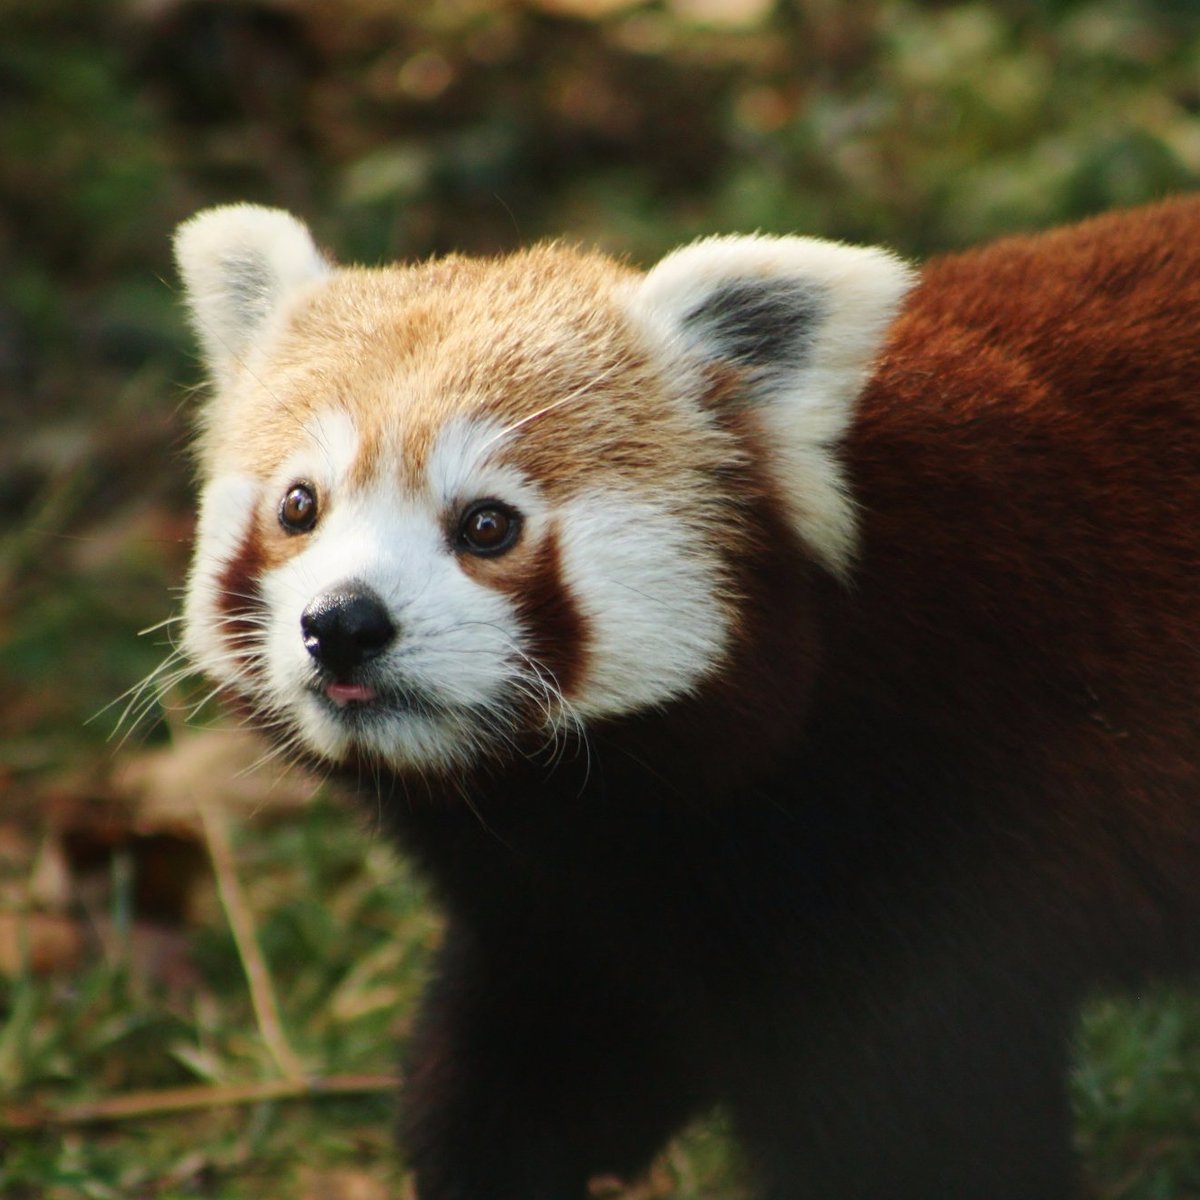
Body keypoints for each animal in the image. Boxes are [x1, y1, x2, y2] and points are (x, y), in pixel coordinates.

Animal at [174, 199, 1200, 1200]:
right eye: (300, 506)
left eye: (486, 525)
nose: (343, 623)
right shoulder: (580, 913)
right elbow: (527, 1069)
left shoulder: (927, 844)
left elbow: (923, 1137)